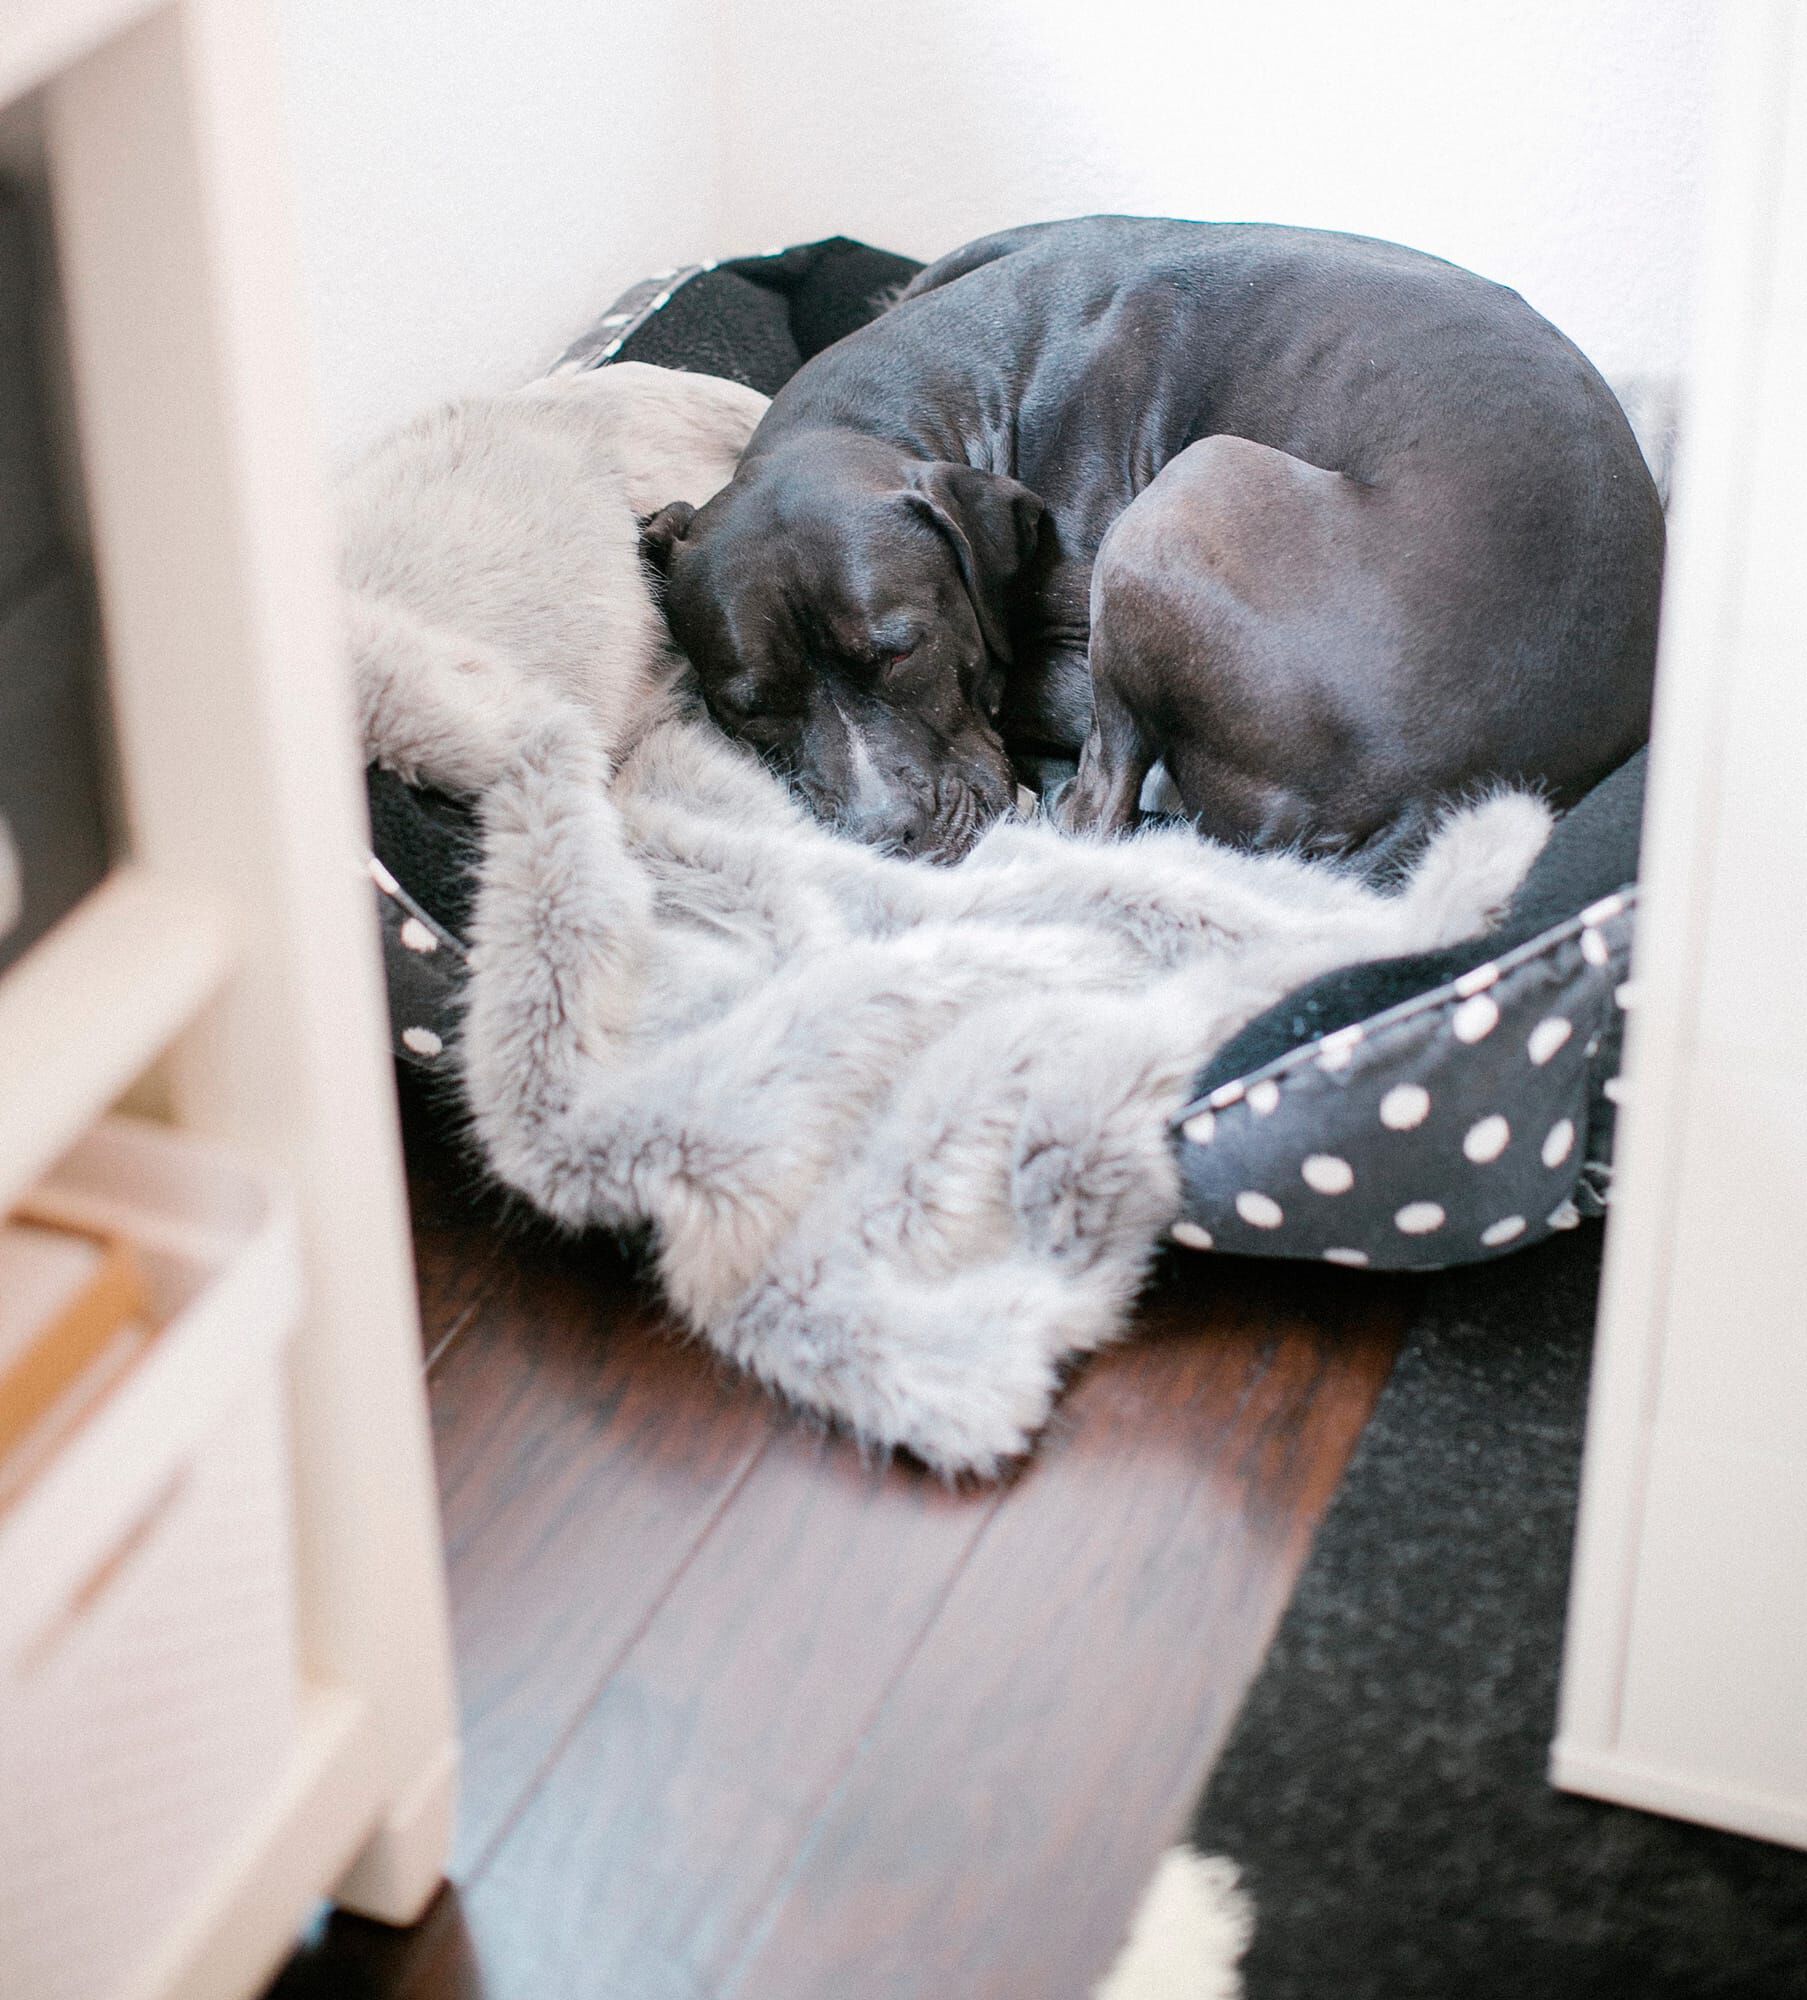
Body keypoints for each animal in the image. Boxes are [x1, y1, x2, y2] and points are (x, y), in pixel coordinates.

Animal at [643, 215, 1655, 864]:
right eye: (745, 708)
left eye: (901, 652)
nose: (880, 833)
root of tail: (1447, 791)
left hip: (1181, 498)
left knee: (1097, 805)